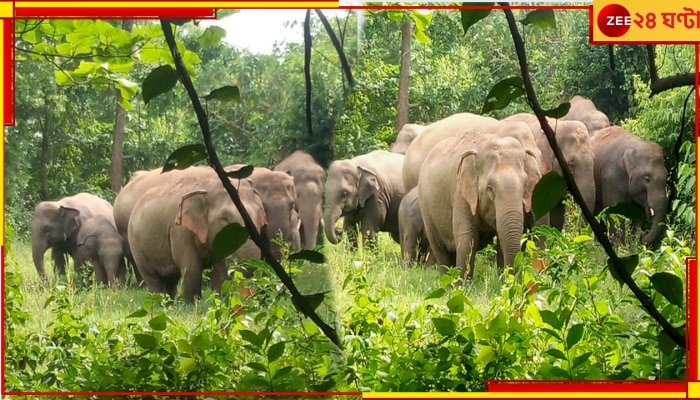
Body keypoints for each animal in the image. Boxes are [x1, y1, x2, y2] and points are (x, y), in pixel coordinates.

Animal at [127, 175, 266, 304]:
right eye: (224, 218)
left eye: (259, 214)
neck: (206, 187)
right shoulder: (179, 230)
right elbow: (191, 268)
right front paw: (191, 306)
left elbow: (220, 271)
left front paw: (220, 302)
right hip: (136, 244)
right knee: (152, 277)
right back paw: (158, 305)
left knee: (171, 279)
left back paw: (170, 305)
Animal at [418, 133, 540, 280]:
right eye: (490, 188)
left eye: (525, 185)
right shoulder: (460, 195)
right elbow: (467, 241)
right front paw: (462, 284)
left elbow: (501, 242)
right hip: (426, 210)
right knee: (441, 250)